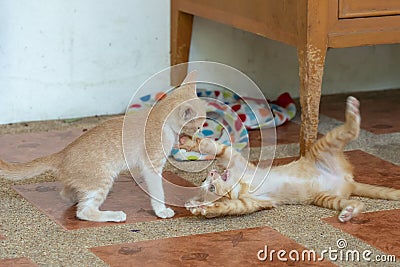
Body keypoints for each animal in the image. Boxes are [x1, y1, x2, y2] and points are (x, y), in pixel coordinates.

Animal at [181, 97, 400, 223]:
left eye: (208, 183)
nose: (210, 173)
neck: (240, 183)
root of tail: (349, 181)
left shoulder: (236, 161)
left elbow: (216, 147)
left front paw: (187, 142)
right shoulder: (253, 202)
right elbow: (230, 206)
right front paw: (201, 208)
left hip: (323, 148)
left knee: (352, 130)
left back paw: (353, 110)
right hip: (326, 197)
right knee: (358, 203)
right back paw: (348, 212)